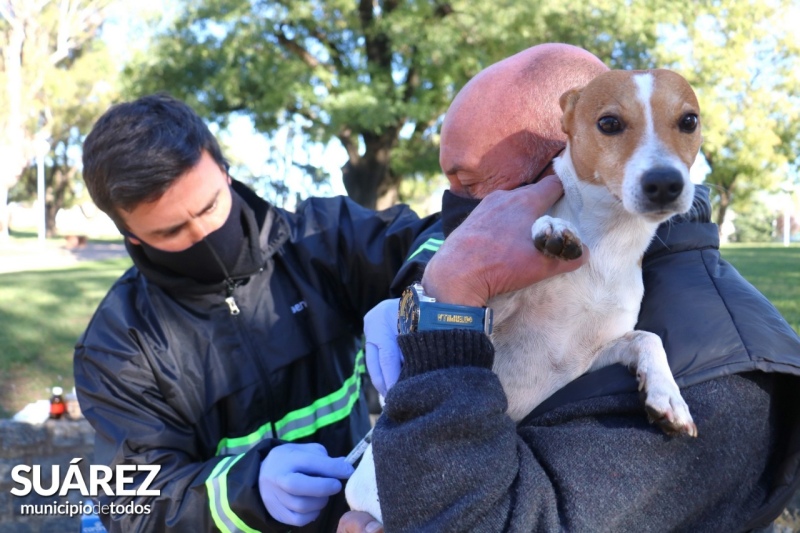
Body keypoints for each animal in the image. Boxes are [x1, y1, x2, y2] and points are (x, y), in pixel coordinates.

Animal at [346, 68, 704, 520]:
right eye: (608, 123)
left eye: (689, 121)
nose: (665, 183)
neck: (608, 242)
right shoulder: (491, 312)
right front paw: (552, 227)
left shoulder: (587, 355)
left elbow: (649, 338)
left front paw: (668, 396)